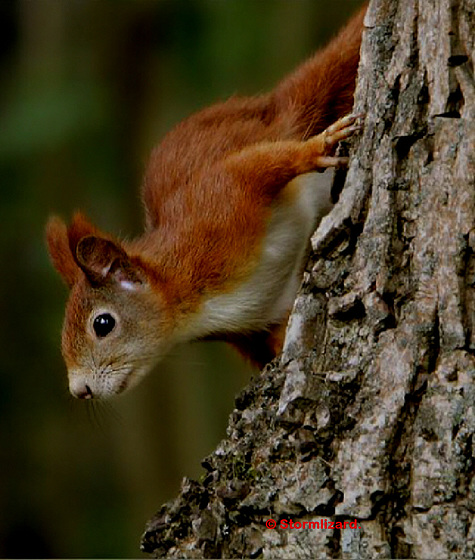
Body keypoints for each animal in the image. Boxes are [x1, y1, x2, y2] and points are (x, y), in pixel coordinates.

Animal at [45, 4, 364, 398]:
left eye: (102, 324)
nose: (80, 390)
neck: (189, 304)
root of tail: (271, 109)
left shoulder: (218, 205)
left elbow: (255, 167)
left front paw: (316, 148)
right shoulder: (258, 319)